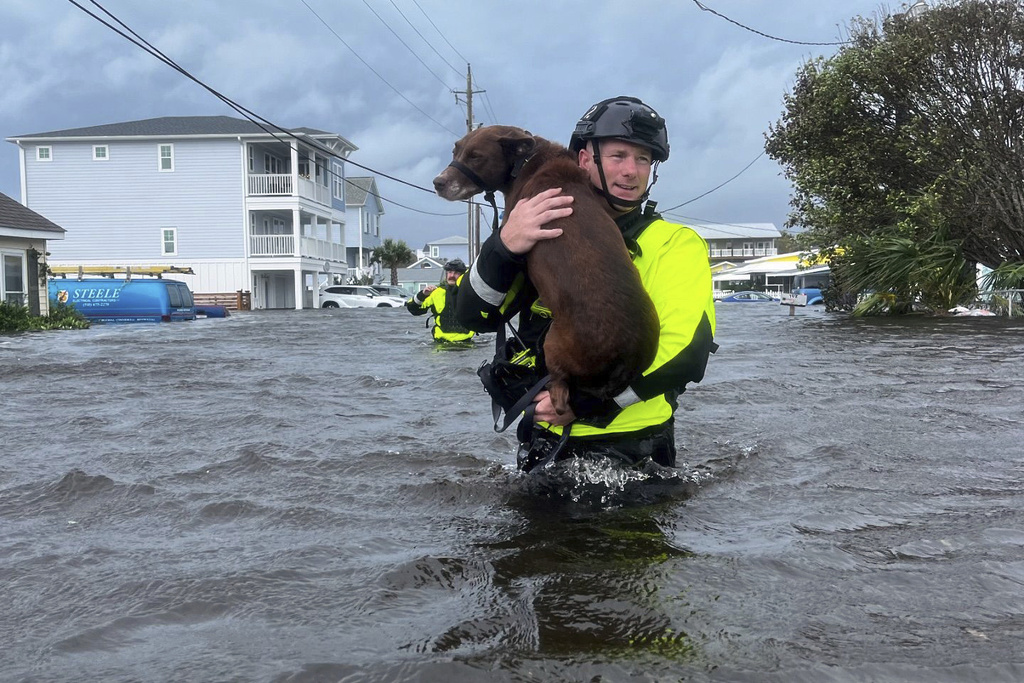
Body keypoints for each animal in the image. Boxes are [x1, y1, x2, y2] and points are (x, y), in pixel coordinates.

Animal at [430, 126, 655, 419]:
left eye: (476, 156)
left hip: (553, 345)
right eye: (455, 150)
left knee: (560, 395)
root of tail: (621, 361)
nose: (438, 182)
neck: (529, 160)